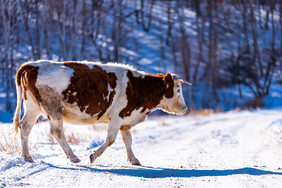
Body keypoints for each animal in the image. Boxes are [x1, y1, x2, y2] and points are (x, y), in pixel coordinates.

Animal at [12, 60, 191, 164]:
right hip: (53, 108)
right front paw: (93, 155)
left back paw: (27, 157)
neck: (136, 87)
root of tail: (34, 65)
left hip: (32, 108)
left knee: (25, 127)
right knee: (57, 131)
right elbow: (111, 139)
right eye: (178, 90)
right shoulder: (117, 116)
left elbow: (128, 140)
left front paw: (133, 159)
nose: (185, 108)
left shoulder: (125, 119)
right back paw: (73, 156)